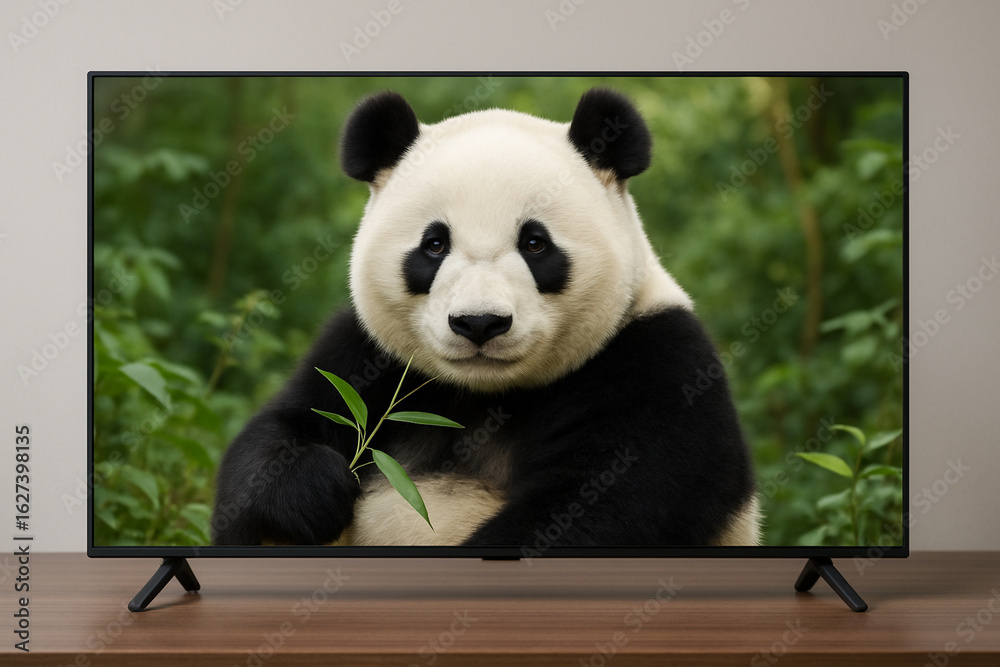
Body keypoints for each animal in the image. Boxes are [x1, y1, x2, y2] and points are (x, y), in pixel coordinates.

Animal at [211, 87, 761, 548]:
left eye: (535, 243)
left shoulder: (657, 366)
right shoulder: (365, 354)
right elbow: (283, 429)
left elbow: (599, 509)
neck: (485, 395)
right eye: (434, 244)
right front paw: (312, 491)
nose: (479, 323)